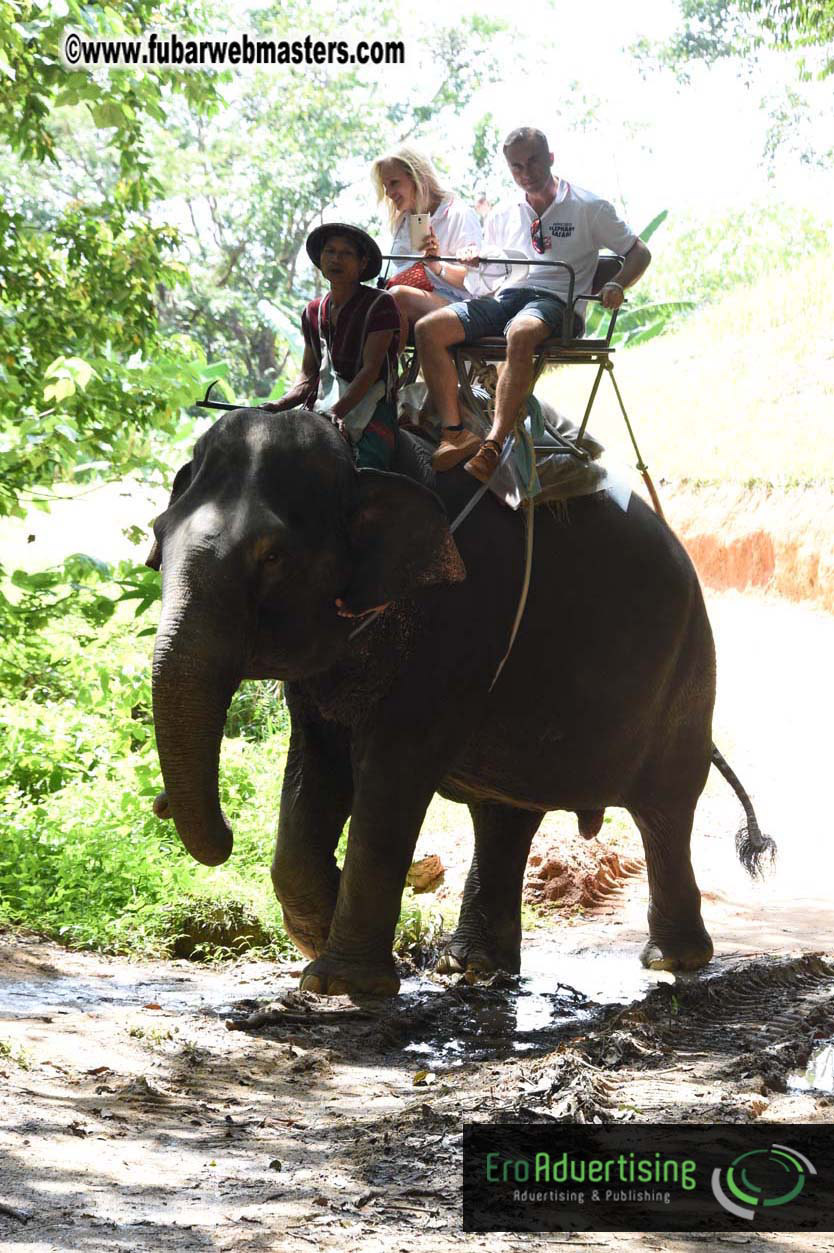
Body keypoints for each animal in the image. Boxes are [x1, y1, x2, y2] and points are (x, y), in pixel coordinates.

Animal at [147, 405, 773, 997]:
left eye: (273, 556)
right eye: (157, 538)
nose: (163, 806)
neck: (364, 461)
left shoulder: (459, 621)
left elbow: (392, 771)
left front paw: (341, 982)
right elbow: (314, 766)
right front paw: (320, 933)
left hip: (688, 673)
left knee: (665, 807)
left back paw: (673, 960)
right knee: (504, 813)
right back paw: (470, 965)